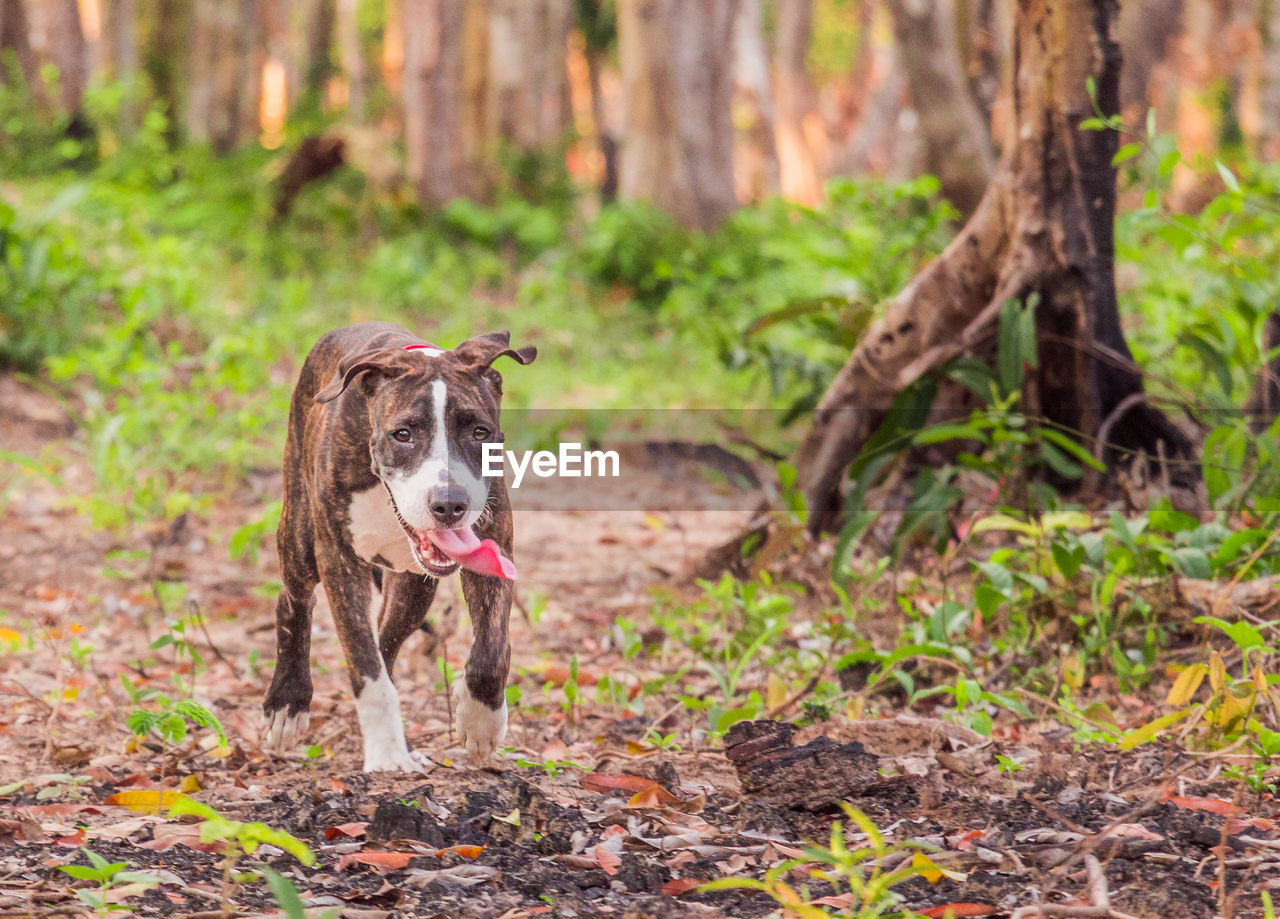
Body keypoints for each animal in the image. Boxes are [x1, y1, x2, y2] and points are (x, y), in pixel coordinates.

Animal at [259, 322, 535, 767]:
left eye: (480, 432)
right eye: (402, 434)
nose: (449, 504)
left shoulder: (495, 544)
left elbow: (492, 650)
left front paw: (480, 721)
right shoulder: (339, 560)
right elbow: (364, 662)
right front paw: (388, 754)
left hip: (413, 589)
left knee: (388, 641)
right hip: (300, 538)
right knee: (294, 602)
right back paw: (287, 704)